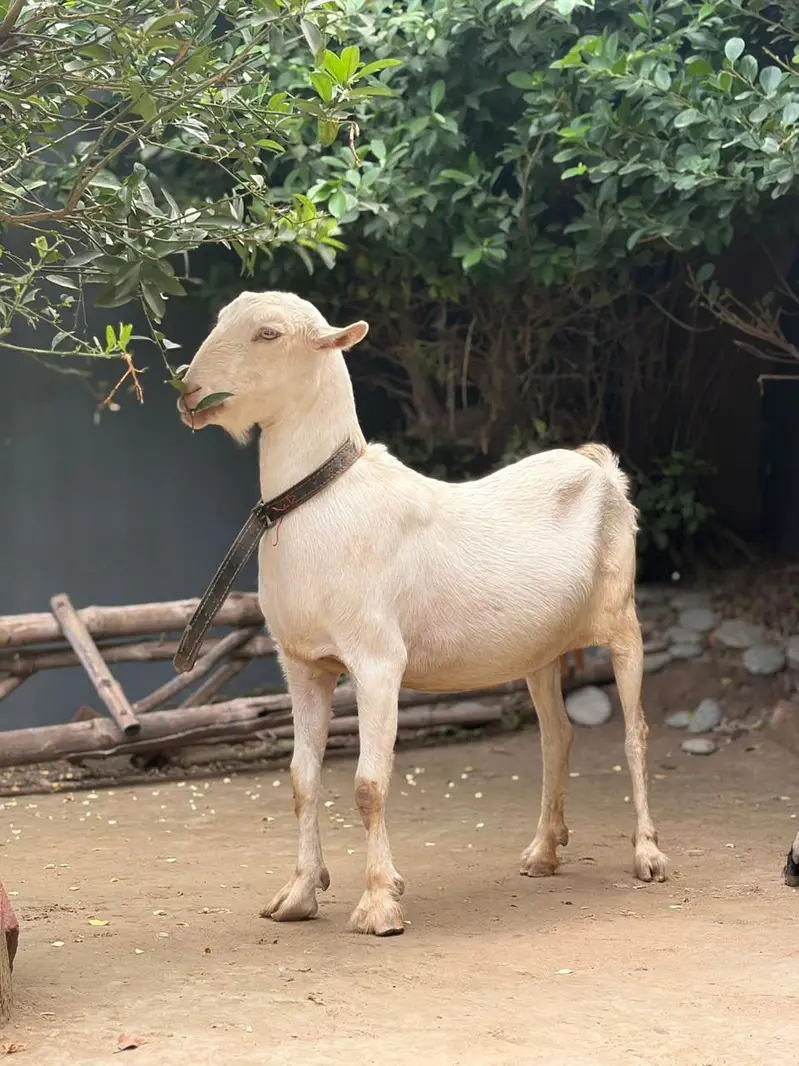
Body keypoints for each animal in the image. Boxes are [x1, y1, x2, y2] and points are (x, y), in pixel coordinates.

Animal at [177, 290, 668, 936]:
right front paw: (299, 895)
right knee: (556, 735)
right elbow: (302, 780)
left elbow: (369, 785)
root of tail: (600, 466)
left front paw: (380, 904)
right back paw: (543, 851)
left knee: (635, 734)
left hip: (621, 619)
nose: (188, 390)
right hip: (541, 649)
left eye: (268, 334)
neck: (321, 501)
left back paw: (648, 855)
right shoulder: (303, 665)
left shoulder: (378, 662)